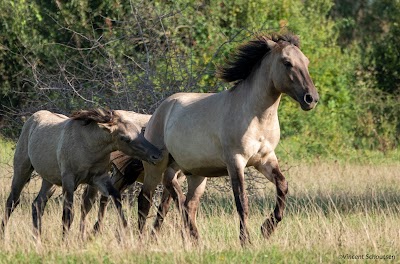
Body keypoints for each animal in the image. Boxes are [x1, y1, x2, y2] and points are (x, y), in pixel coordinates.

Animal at [1, 108, 162, 240]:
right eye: (125, 138)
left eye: (139, 131)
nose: (156, 154)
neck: (88, 145)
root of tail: (32, 119)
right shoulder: (69, 181)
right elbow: (68, 214)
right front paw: (65, 241)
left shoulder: (99, 179)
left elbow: (115, 198)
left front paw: (125, 229)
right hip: (22, 170)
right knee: (12, 201)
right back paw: (4, 235)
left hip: (50, 180)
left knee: (37, 204)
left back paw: (37, 238)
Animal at [139, 33, 320, 245]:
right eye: (287, 62)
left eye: (306, 61)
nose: (311, 98)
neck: (256, 116)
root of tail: (159, 111)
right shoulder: (236, 161)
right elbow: (242, 201)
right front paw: (246, 241)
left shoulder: (265, 159)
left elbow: (283, 187)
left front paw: (267, 229)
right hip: (155, 167)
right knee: (146, 200)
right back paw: (140, 240)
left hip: (191, 173)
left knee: (181, 201)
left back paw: (192, 239)